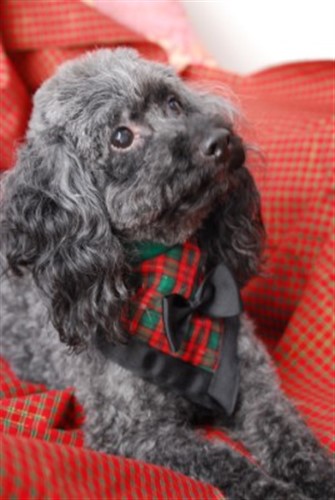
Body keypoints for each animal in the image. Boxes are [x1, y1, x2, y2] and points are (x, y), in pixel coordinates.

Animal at [0, 47, 334, 500]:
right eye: (121, 137)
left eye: (174, 103)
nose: (220, 139)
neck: (175, 284)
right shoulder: (134, 432)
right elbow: (227, 462)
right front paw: (280, 491)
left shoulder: (254, 383)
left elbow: (290, 435)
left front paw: (320, 476)